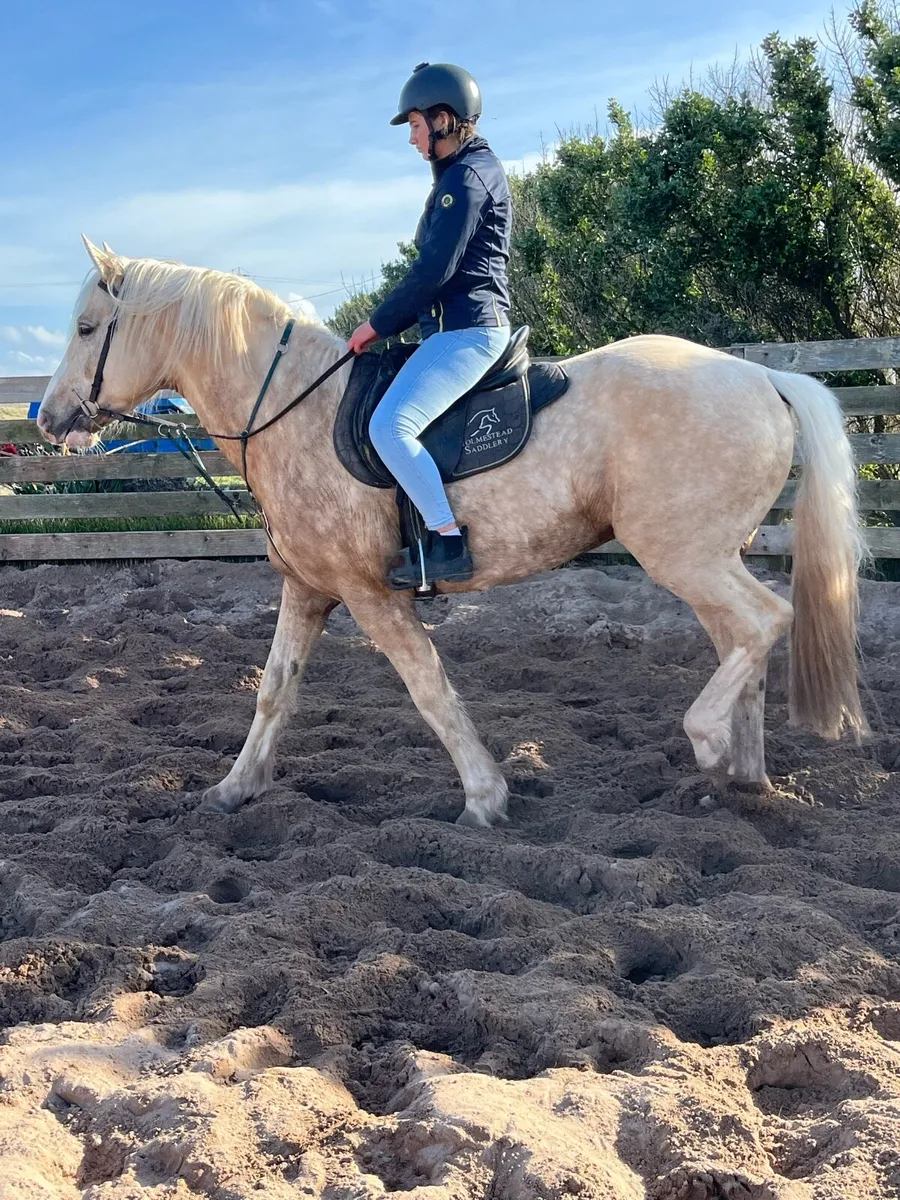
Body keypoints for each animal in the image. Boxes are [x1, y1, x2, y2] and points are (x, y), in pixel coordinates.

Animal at [36, 238, 867, 827]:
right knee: (742, 642)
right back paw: (742, 777)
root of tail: (764, 377)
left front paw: (485, 798)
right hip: (706, 559)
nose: (49, 417)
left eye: (86, 327)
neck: (291, 408)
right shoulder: (307, 589)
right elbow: (273, 691)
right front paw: (234, 789)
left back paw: (709, 743)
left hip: (685, 556)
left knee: (764, 622)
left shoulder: (372, 595)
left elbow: (430, 690)